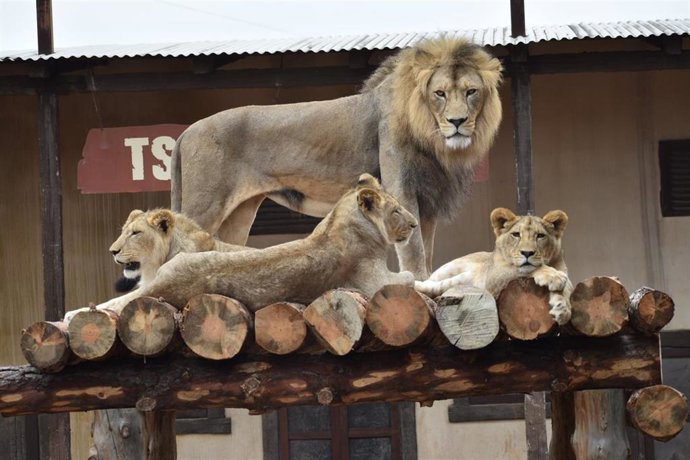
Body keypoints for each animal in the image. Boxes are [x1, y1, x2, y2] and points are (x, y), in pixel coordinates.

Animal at [171, 37, 503, 280]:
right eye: (440, 93)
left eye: (471, 91)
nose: (458, 121)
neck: (433, 138)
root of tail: (186, 132)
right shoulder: (402, 188)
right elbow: (414, 251)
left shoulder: (429, 199)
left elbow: (428, 250)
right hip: (205, 205)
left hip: (239, 213)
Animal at [415, 207, 573, 325]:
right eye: (516, 234)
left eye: (540, 236)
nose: (527, 253)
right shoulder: (493, 277)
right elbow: (524, 268)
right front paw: (553, 276)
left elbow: (567, 290)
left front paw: (563, 309)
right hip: (448, 270)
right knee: (431, 283)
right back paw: (413, 282)